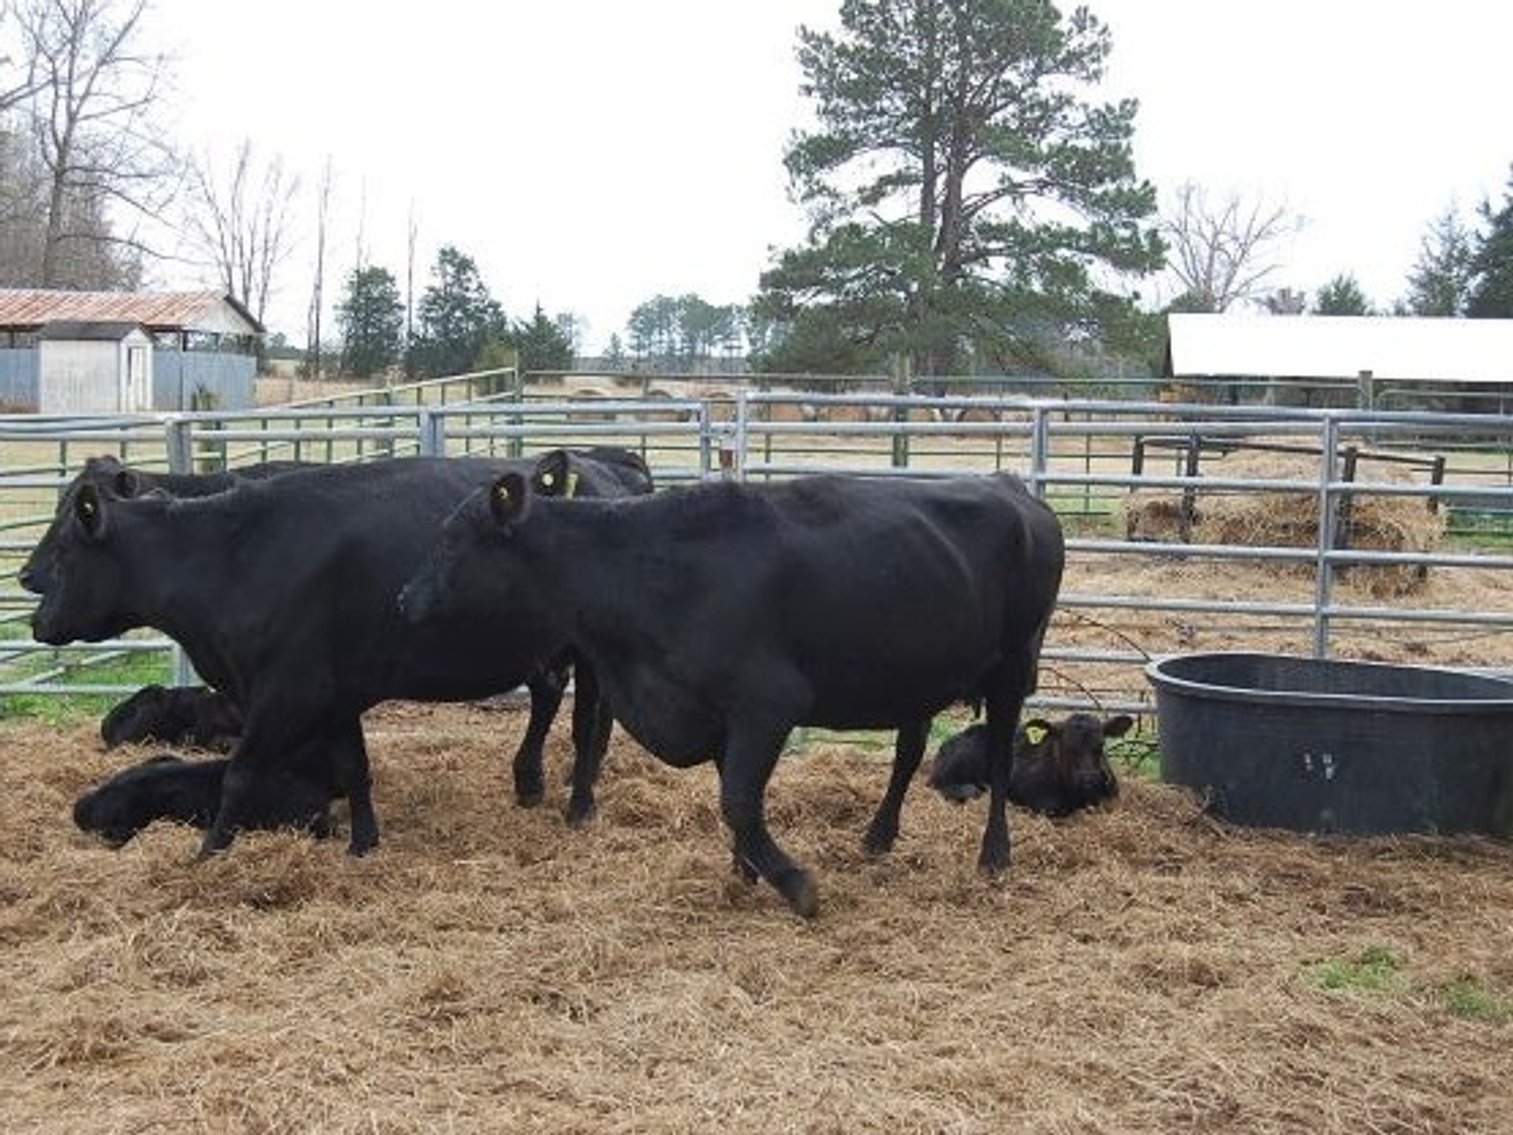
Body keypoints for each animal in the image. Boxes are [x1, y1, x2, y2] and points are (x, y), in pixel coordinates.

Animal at [398, 461, 1065, 918]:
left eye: (454, 539)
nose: (404, 598)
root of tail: (1012, 487)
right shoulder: (716, 714)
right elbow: (736, 798)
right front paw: (744, 870)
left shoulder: (767, 704)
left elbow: (739, 801)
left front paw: (793, 883)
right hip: (916, 674)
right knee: (909, 751)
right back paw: (878, 836)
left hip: (1013, 666)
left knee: (999, 757)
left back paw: (994, 855)